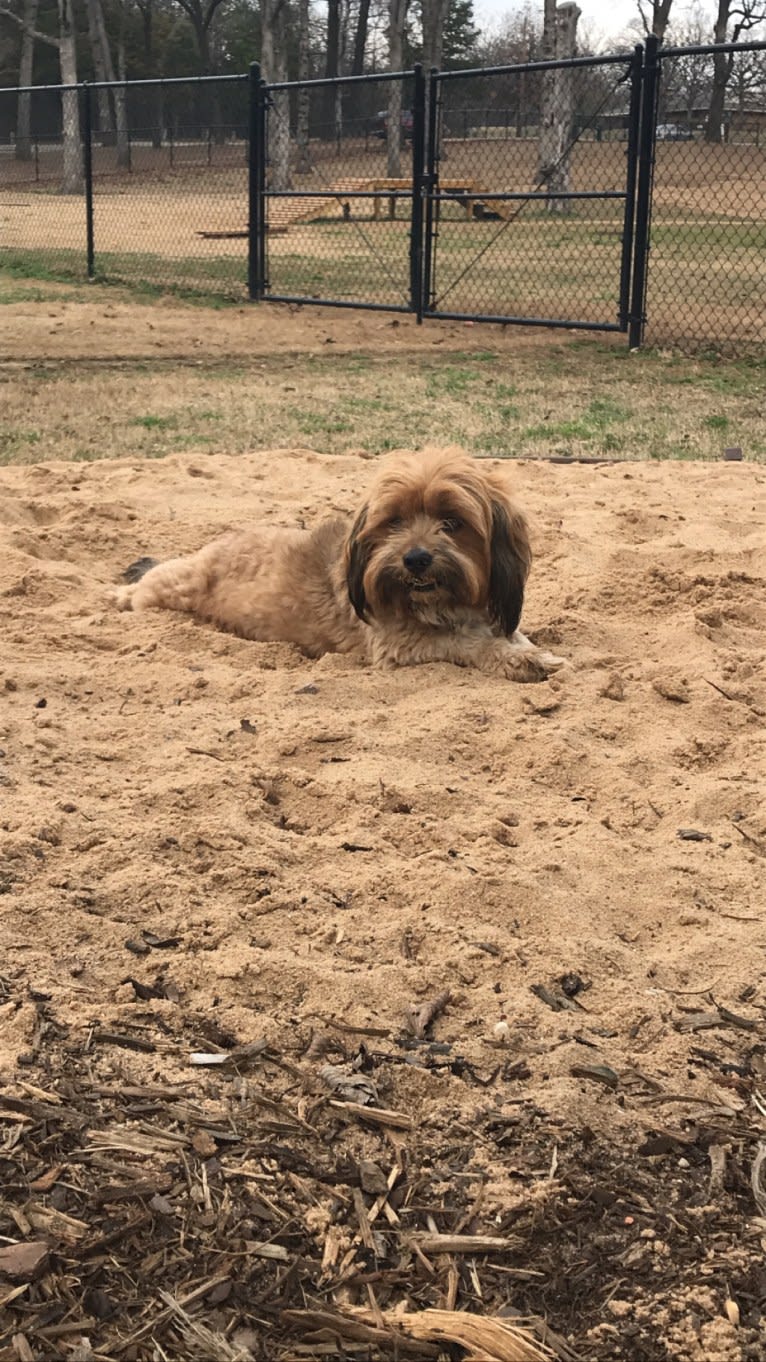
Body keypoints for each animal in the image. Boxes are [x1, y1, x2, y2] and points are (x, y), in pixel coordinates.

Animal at [116, 446, 564, 681]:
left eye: (452, 523)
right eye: (395, 521)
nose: (416, 558)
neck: (443, 605)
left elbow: (513, 634)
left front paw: (529, 650)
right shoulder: (399, 646)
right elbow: (468, 644)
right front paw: (522, 661)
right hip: (174, 586)